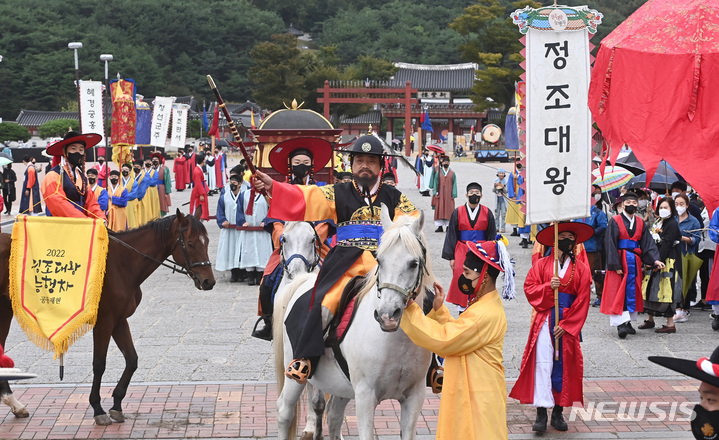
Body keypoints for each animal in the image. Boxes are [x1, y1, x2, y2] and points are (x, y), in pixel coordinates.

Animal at [0, 211, 215, 424]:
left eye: (207, 242)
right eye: (190, 243)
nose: (209, 281)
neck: (122, 264)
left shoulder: (119, 320)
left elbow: (132, 359)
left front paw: (117, 404)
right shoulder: (104, 321)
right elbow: (99, 364)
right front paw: (97, 408)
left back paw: (14, 403)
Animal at [274, 207, 434, 440]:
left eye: (414, 263)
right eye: (380, 260)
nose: (387, 315)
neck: (396, 341)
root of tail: (303, 279)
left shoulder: (414, 396)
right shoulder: (365, 396)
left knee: (333, 417)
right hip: (295, 374)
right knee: (284, 412)